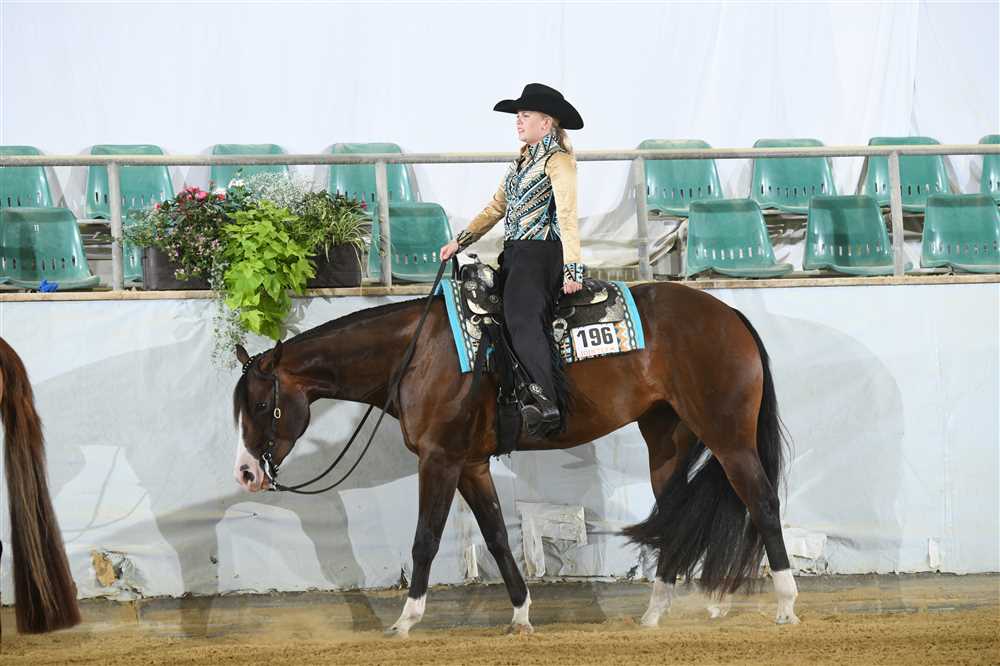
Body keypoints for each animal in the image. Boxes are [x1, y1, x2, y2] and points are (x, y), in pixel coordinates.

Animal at [231, 280, 800, 636]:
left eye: (260, 405)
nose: (246, 472)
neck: (419, 353)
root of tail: (730, 315)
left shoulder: (439, 460)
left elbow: (425, 538)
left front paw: (406, 620)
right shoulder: (470, 464)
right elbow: (497, 536)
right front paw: (522, 615)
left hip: (728, 438)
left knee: (762, 503)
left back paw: (786, 605)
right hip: (667, 440)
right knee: (675, 516)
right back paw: (654, 613)